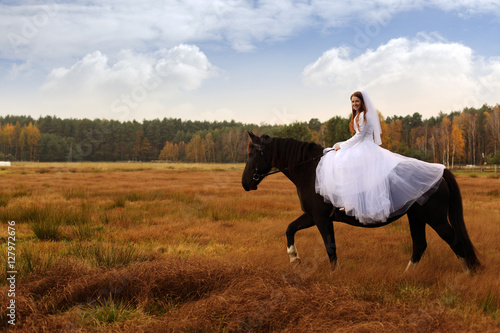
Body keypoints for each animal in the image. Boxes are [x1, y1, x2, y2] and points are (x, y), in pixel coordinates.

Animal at [242, 132, 480, 272]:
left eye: (254, 153)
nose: (245, 183)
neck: (310, 169)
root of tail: (438, 171)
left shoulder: (321, 218)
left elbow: (330, 247)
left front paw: (334, 276)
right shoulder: (311, 216)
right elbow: (290, 229)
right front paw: (294, 259)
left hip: (435, 218)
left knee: (455, 241)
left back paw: (468, 275)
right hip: (416, 217)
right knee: (420, 245)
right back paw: (406, 277)